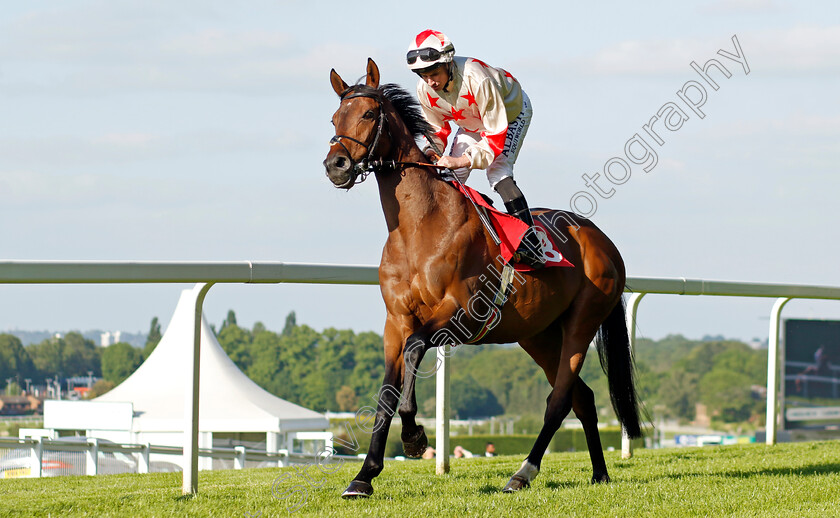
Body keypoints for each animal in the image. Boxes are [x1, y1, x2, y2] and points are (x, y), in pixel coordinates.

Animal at [324, 58, 644, 500]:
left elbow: (416, 348)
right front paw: (364, 476)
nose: (335, 165)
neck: (418, 229)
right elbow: (387, 392)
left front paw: (414, 438)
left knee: (560, 399)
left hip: (581, 322)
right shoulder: (395, 321)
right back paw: (599, 472)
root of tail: (602, 240)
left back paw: (522, 473)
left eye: (370, 114)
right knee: (583, 397)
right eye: (334, 117)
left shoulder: (462, 315)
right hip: (538, 334)